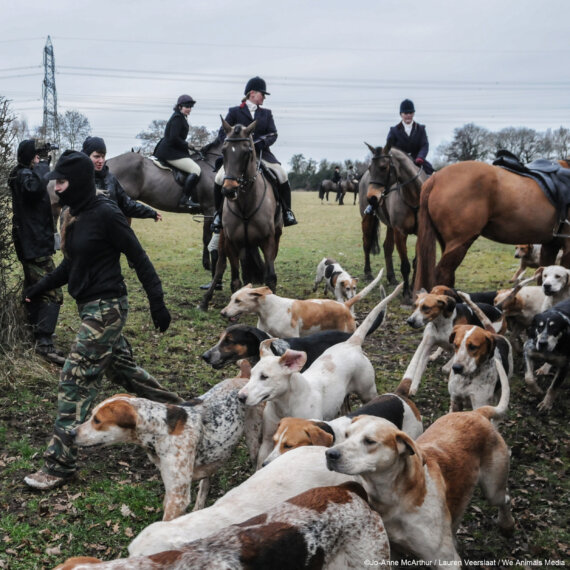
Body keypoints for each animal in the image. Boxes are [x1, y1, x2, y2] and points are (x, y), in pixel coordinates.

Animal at [200, 117, 282, 308]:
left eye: (247, 151)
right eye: (224, 151)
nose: (229, 190)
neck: (246, 203)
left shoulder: (268, 239)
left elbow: (270, 277)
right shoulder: (232, 242)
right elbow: (235, 280)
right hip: (228, 239)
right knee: (221, 266)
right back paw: (206, 299)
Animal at [360, 143, 426, 302]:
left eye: (383, 167)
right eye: (370, 167)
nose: (371, 198)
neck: (414, 197)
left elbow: (417, 262)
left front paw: (414, 287)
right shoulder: (400, 233)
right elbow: (405, 265)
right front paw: (406, 293)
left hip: (390, 227)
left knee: (387, 247)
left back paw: (391, 277)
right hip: (368, 220)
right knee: (366, 244)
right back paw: (368, 272)